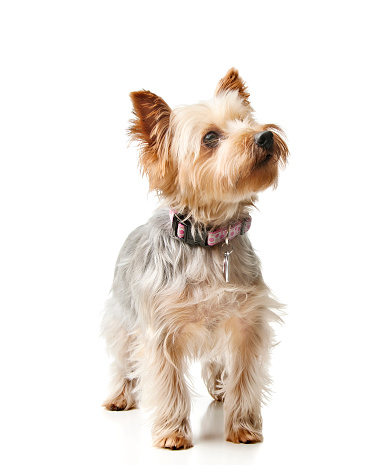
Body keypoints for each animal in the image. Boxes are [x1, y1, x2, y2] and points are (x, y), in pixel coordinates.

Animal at [101, 67, 290, 448]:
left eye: (246, 121)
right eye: (210, 138)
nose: (264, 136)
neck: (210, 239)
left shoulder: (247, 322)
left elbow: (244, 374)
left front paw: (243, 426)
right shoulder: (159, 329)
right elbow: (168, 382)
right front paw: (173, 432)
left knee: (216, 361)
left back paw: (220, 390)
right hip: (122, 317)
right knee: (122, 360)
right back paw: (119, 395)